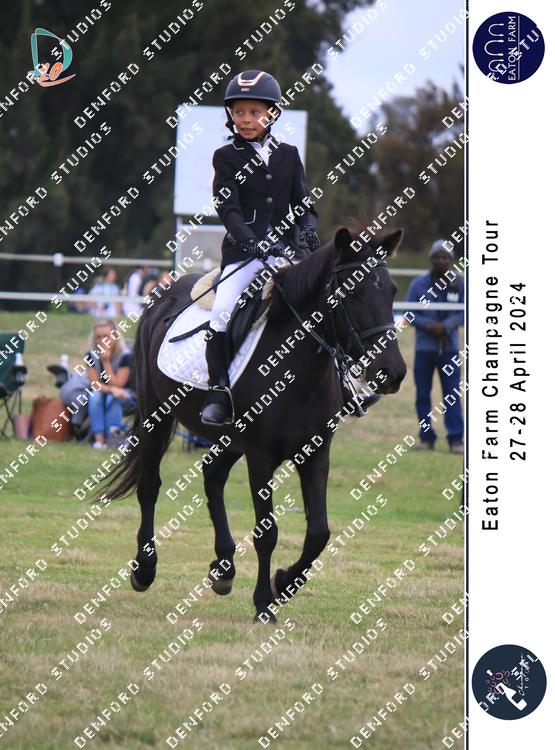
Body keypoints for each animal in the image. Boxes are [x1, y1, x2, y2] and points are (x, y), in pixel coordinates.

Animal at [103, 227, 407, 623]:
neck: (296, 368)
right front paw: (264, 603)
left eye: (392, 291)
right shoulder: (260, 457)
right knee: (150, 485)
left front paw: (283, 583)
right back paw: (144, 569)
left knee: (212, 475)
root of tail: (165, 295)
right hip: (157, 416)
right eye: (352, 292)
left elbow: (319, 533)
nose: (393, 373)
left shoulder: (315, 453)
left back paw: (224, 568)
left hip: (229, 440)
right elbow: (268, 532)